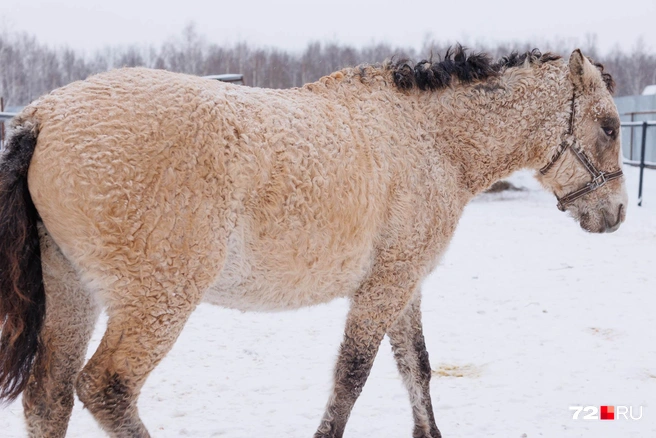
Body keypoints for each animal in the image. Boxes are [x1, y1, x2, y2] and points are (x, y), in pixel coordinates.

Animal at [0, 46, 624, 436]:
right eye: (611, 126)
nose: (615, 214)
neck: (429, 140)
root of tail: (43, 115)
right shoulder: (383, 289)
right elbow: (351, 378)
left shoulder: (403, 284)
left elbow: (416, 369)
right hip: (157, 301)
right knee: (106, 388)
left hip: (73, 295)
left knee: (48, 397)